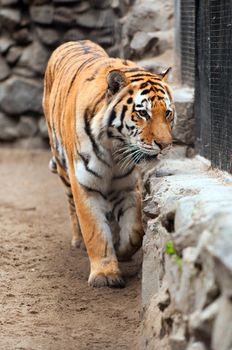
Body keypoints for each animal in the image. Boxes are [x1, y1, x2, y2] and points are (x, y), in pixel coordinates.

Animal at [42, 39, 175, 288]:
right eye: (143, 113)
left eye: (168, 114)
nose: (165, 144)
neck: (115, 148)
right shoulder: (85, 184)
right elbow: (95, 231)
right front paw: (105, 274)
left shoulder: (127, 185)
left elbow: (135, 230)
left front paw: (121, 250)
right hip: (63, 168)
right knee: (71, 207)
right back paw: (78, 240)